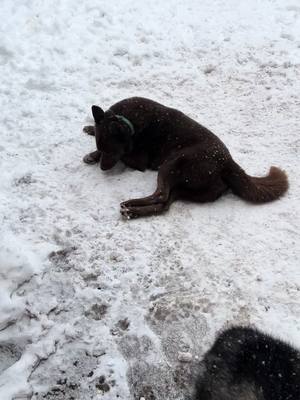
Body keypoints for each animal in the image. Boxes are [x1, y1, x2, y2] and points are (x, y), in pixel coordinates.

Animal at [82, 97, 288, 219]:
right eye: (103, 148)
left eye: (111, 151)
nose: (102, 169)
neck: (127, 122)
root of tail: (228, 163)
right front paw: (90, 133)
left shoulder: (138, 161)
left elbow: (125, 155)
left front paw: (92, 154)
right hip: (185, 189)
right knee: (164, 204)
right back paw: (133, 211)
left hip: (172, 163)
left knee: (161, 194)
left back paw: (130, 206)